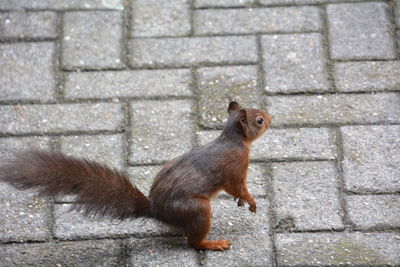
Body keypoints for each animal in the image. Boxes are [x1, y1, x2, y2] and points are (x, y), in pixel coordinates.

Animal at [0, 101, 272, 252]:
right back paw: (212, 244)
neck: (233, 140)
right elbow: (237, 186)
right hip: (198, 209)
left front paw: (243, 202)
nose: (271, 118)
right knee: (193, 242)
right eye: (259, 120)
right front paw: (251, 200)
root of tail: (157, 211)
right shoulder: (236, 167)